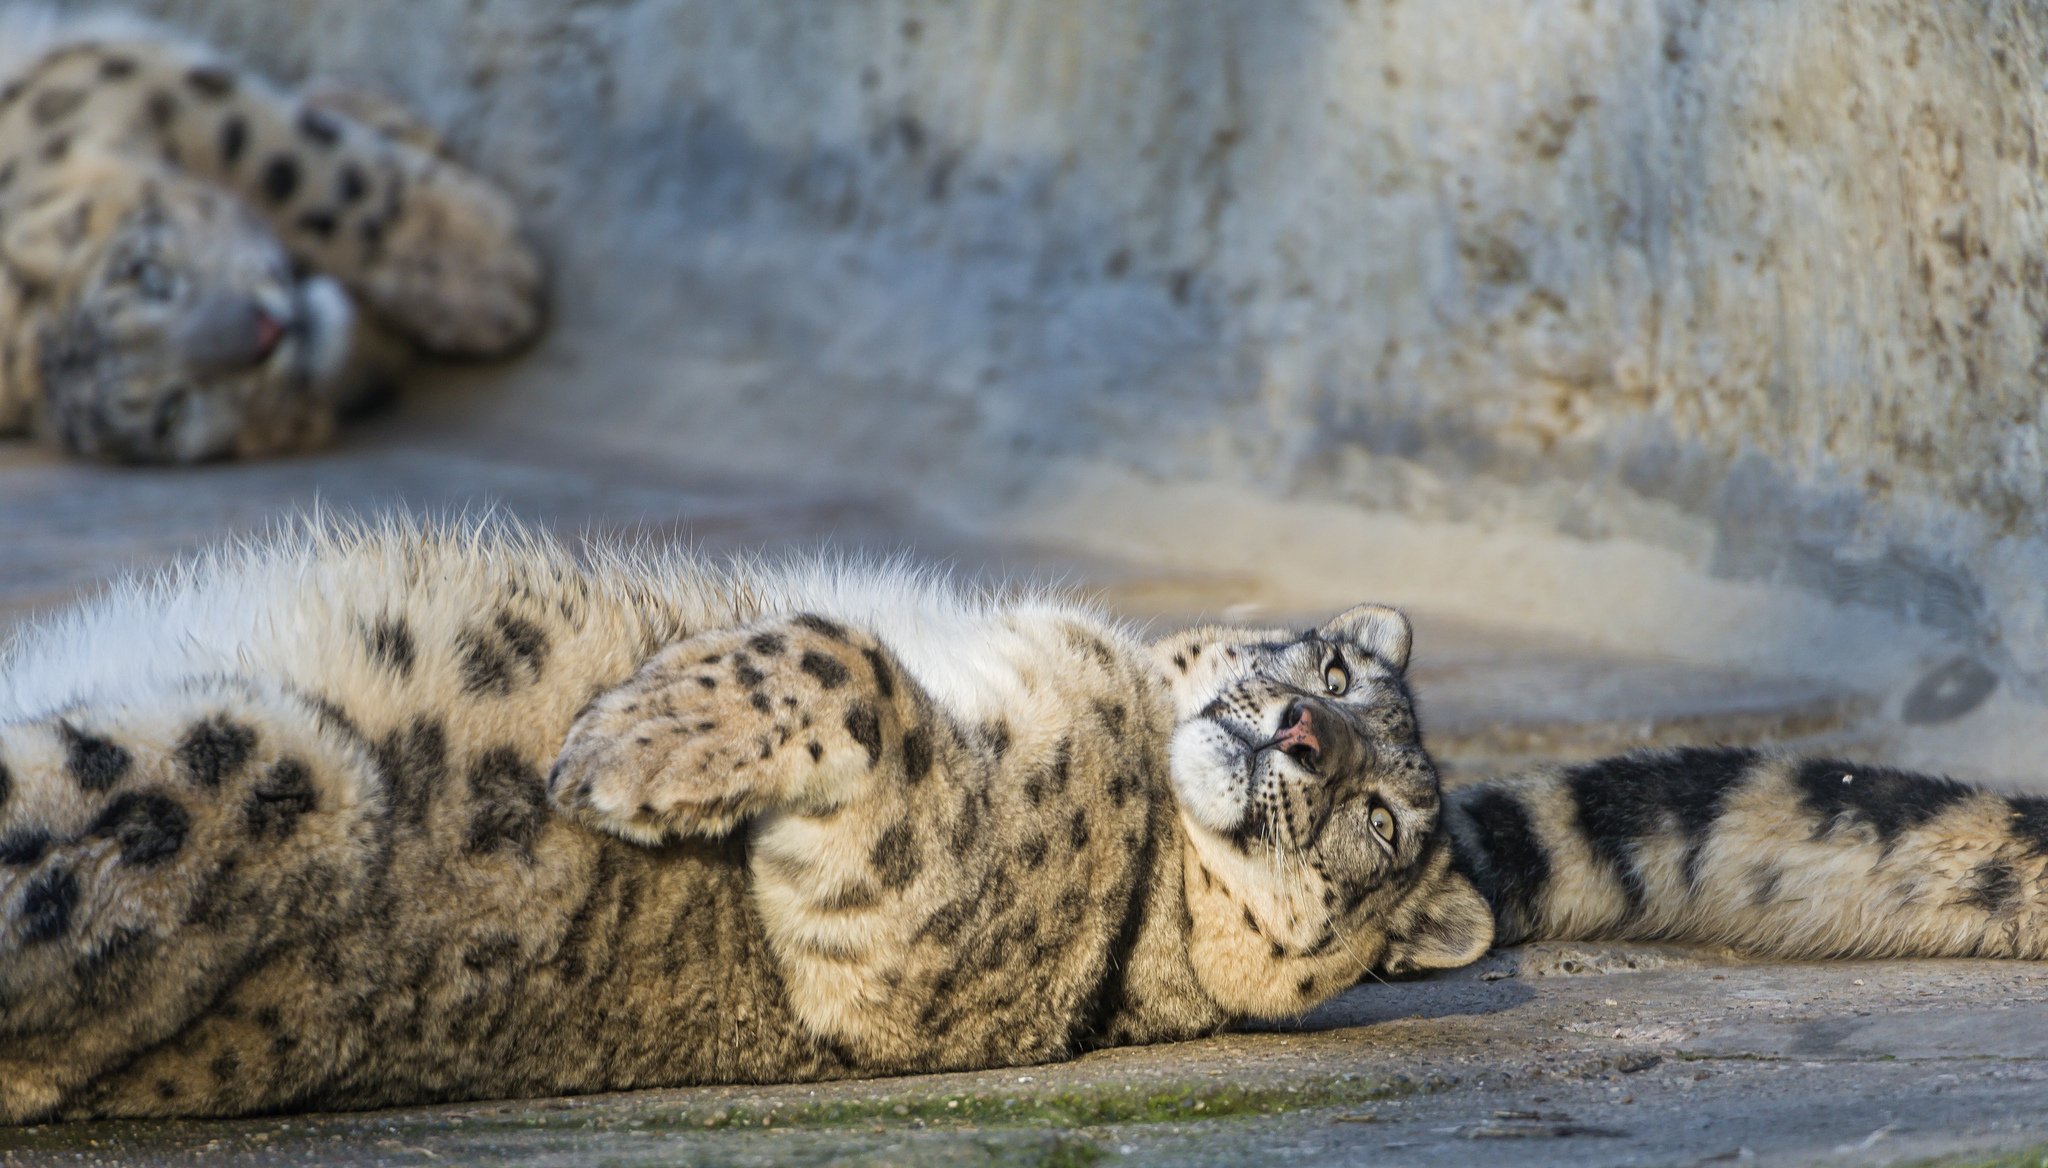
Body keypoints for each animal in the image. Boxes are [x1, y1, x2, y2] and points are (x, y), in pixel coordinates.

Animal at [0, 9, 545, 463]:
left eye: (149, 276)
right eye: (172, 411)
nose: (266, 333)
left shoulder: (120, 89)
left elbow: (293, 165)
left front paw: (486, 266)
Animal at [0, 516, 2041, 1121]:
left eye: (1388, 822)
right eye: (1330, 671)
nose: (1301, 732)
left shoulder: (903, 932)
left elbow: (852, 674)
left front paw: (628, 743)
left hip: (252, 774)